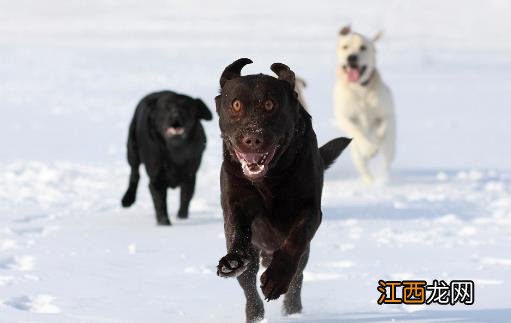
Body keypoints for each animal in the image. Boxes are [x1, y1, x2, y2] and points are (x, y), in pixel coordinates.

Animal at [121, 90, 212, 225]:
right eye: (165, 108)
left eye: (186, 106)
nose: (175, 115)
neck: (175, 152)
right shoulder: (156, 179)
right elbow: (160, 202)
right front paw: (164, 223)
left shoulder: (190, 176)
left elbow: (185, 199)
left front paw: (181, 218)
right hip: (132, 149)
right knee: (134, 173)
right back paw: (127, 199)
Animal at [215, 58, 352, 323]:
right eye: (235, 104)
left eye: (270, 104)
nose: (252, 138)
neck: (269, 180)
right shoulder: (236, 202)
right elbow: (238, 231)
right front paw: (233, 260)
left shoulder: (310, 209)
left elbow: (296, 238)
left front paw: (276, 280)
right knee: (249, 288)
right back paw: (255, 314)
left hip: (303, 255)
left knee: (297, 277)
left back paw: (292, 310)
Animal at [334, 25, 398, 184]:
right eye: (345, 47)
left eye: (363, 47)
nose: (352, 57)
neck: (360, 89)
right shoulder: (344, 116)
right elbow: (356, 130)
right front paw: (368, 147)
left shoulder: (386, 113)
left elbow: (382, 126)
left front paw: (376, 137)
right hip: (355, 155)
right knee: (364, 168)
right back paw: (370, 181)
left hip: (390, 148)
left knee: (386, 163)